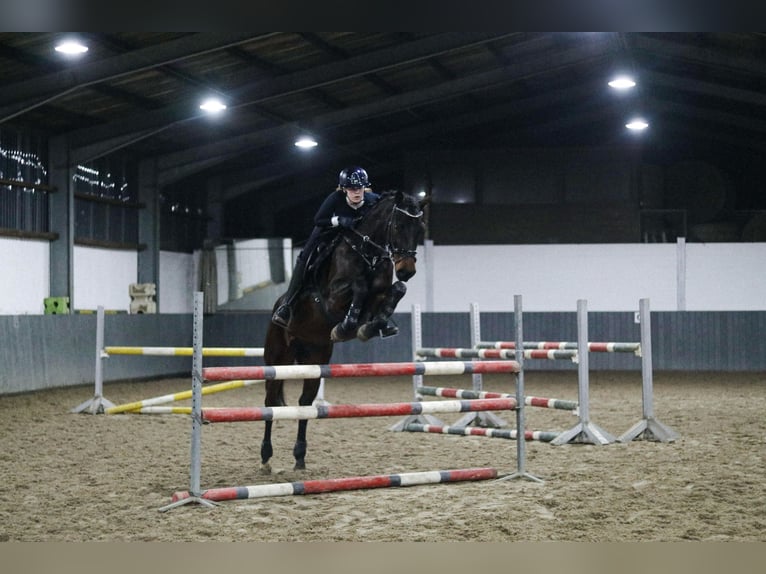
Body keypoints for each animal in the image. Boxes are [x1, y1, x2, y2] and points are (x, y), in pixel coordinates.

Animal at [260, 191, 428, 474]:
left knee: (305, 403)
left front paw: (375, 326)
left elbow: (396, 291)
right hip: (277, 358)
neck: (367, 253)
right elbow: (359, 287)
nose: (407, 271)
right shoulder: (332, 299)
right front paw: (345, 327)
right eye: (398, 226)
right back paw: (265, 457)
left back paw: (300, 457)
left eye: (420, 229)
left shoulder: (380, 294)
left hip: (315, 358)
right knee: (270, 402)